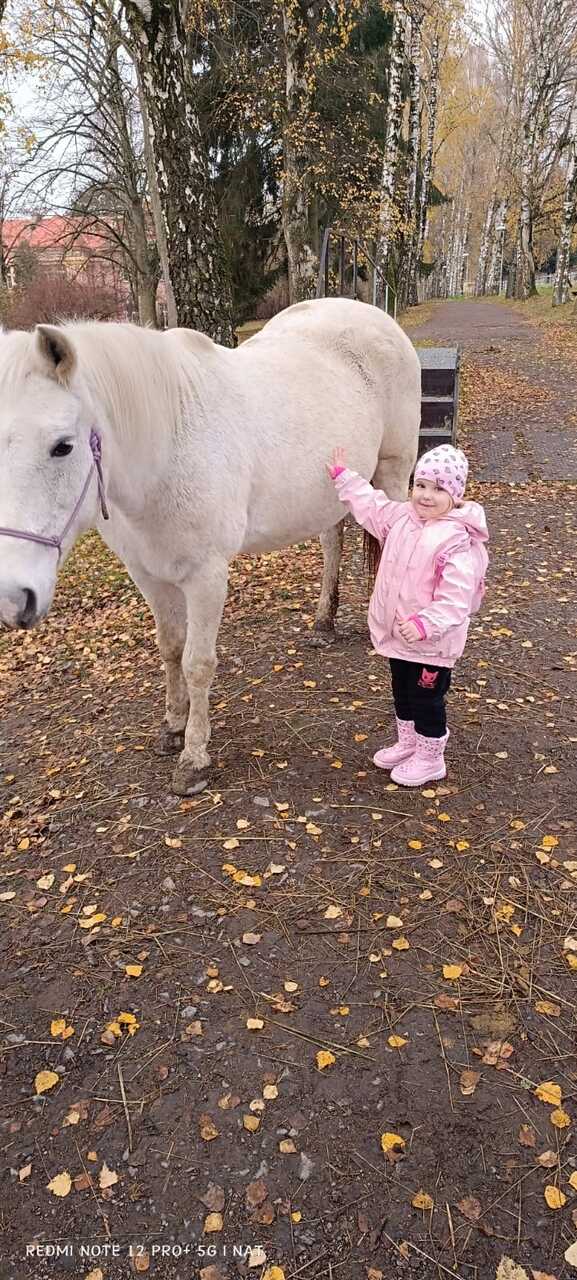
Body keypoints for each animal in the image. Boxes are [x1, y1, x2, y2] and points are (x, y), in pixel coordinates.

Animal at [0, 297, 420, 795]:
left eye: (62, 446)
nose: (12, 599)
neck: (166, 447)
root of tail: (375, 317)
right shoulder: (150, 576)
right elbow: (170, 648)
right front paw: (172, 728)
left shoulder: (206, 577)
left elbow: (197, 662)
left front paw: (194, 759)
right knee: (331, 540)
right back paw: (323, 622)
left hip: (393, 470)